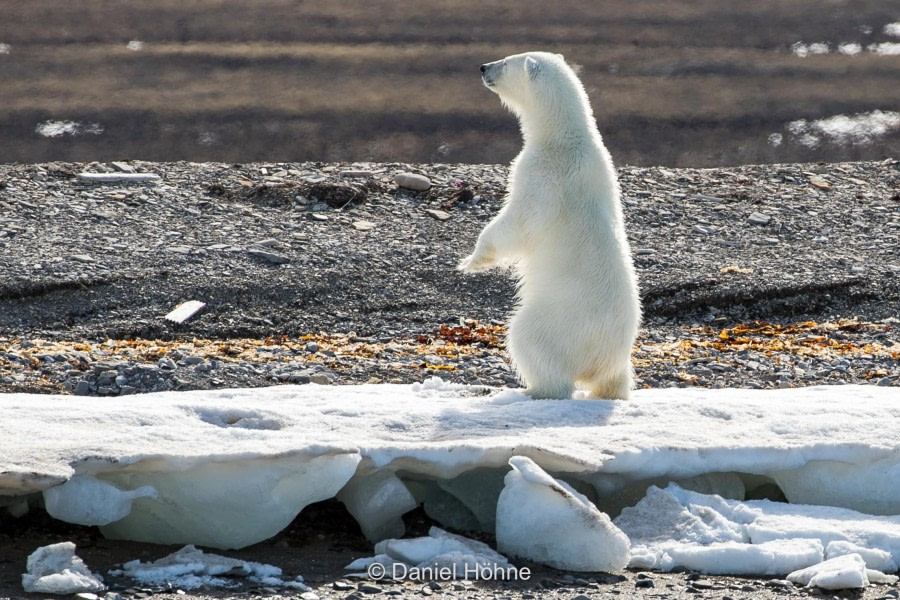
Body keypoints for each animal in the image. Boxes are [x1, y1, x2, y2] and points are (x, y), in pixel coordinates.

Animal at [458, 50, 640, 398]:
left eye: (506, 61)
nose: (483, 67)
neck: (566, 139)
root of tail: (601, 356)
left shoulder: (541, 174)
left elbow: (516, 222)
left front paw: (471, 261)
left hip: (557, 320)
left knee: (528, 338)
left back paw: (531, 390)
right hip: (614, 356)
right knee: (615, 380)